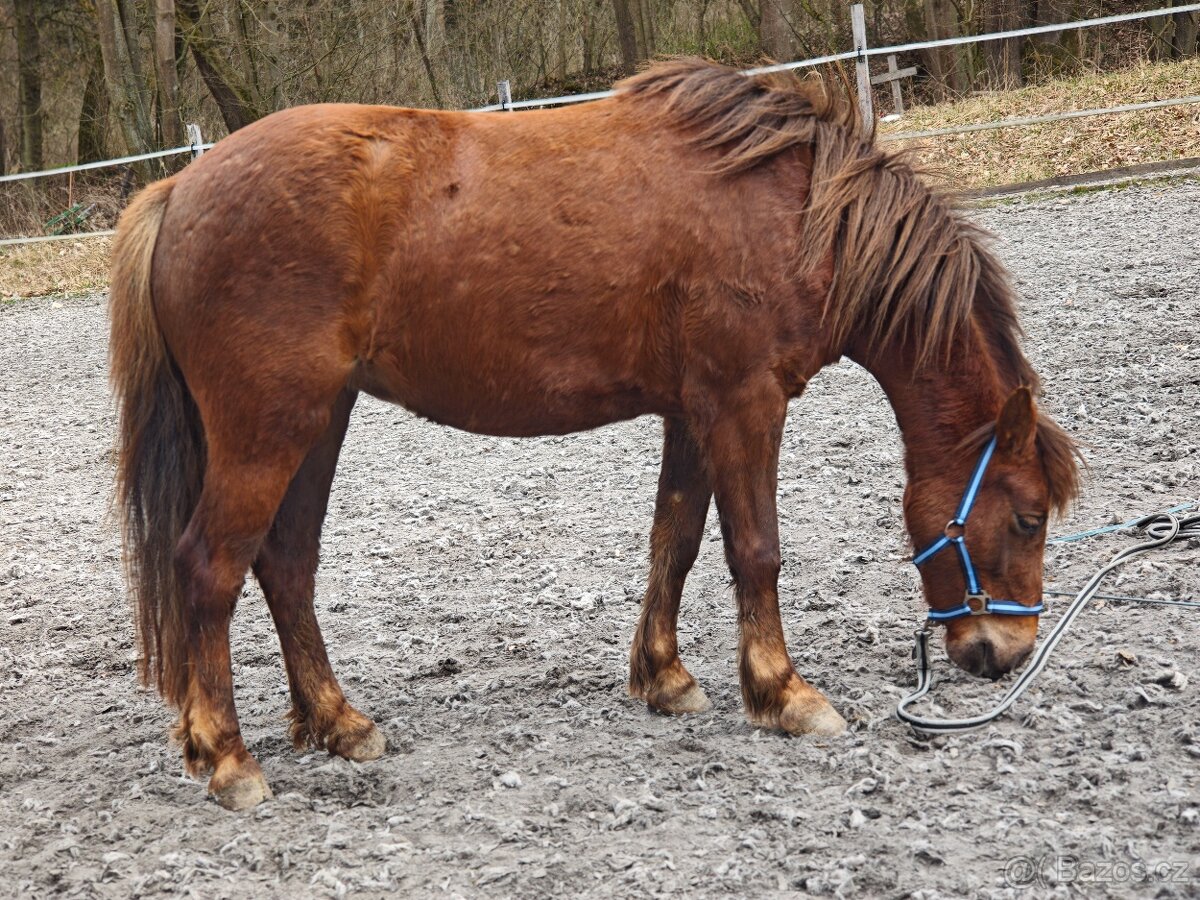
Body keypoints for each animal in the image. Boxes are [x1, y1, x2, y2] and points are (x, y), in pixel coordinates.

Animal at [109, 58, 1080, 810]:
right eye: (1028, 517)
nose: (1005, 655)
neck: (798, 213)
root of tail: (180, 187)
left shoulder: (694, 412)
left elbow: (675, 542)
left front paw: (667, 678)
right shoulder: (745, 404)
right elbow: (756, 551)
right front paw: (784, 693)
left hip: (318, 422)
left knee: (286, 564)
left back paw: (339, 722)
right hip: (271, 428)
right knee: (209, 569)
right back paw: (229, 759)